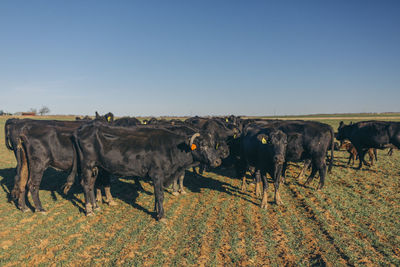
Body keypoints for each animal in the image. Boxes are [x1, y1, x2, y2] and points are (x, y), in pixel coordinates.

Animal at [72, 122, 222, 221]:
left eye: (212, 144)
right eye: (203, 145)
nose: (217, 161)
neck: (171, 147)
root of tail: (81, 129)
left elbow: (157, 194)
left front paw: (156, 210)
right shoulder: (157, 175)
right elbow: (160, 195)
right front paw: (161, 216)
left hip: (96, 167)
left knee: (91, 186)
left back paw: (96, 206)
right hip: (87, 166)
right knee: (86, 185)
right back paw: (89, 210)